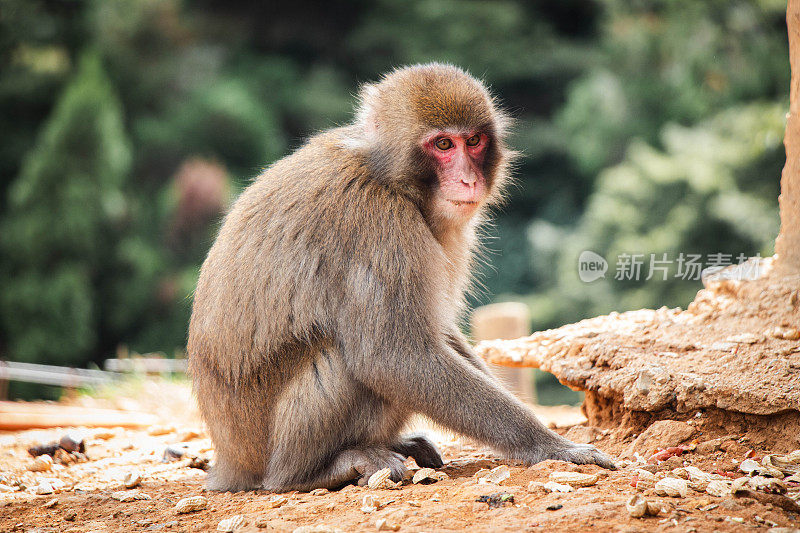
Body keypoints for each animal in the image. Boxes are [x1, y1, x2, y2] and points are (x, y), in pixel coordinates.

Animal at [189, 61, 620, 490]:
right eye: (443, 145)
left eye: (474, 141)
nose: (469, 180)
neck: (385, 175)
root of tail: (230, 463)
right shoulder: (379, 222)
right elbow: (395, 356)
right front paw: (551, 445)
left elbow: (439, 332)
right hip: (270, 448)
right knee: (343, 359)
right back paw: (314, 471)